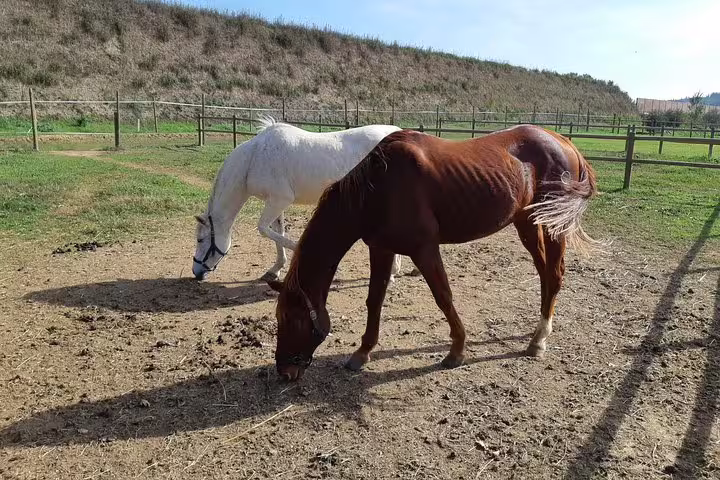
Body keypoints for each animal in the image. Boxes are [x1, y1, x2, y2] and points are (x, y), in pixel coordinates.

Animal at [192, 117, 403, 282]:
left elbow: (264, 230)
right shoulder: (275, 202)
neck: (254, 159)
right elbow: (277, 233)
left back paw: (392, 272)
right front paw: (275, 270)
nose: (196, 272)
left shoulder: (279, 200)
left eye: (200, 239)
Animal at [267, 125, 600, 381]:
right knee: (545, 274)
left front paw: (457, 350)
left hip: (552, 226)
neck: (378, 187)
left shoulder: (424, 249)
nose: (284, 371)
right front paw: (362, 353)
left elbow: (443, 296)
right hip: (527, 222)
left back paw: (539, 341)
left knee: (554, 275)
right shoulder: (381, 248)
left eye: (292, 319)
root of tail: (563, 142)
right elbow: (374, 300)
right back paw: (538, 332)